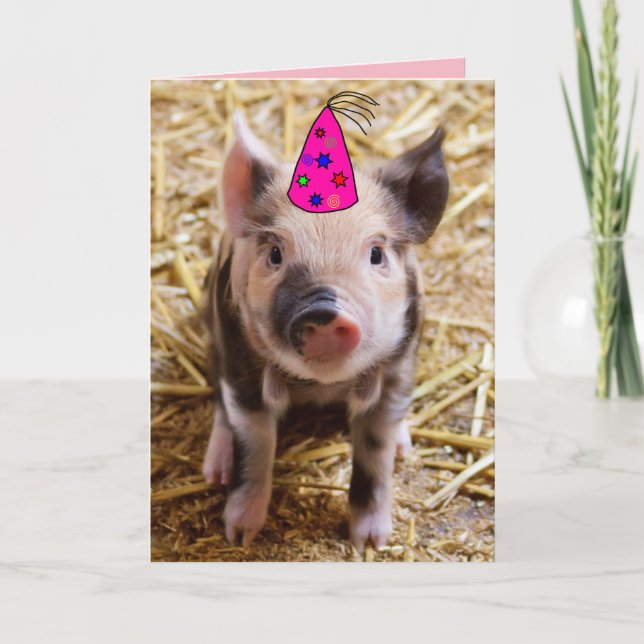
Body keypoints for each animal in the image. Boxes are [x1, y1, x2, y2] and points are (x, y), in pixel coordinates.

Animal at [202, 113, 448, 551]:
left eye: (376, 254)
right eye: (276, 253)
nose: (323, 310)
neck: (320, 386)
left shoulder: (399, 366)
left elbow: (376, 450)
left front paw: (371, 544)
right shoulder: (239, 361)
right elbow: (255, 444)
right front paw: (239, 535)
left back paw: (405, 448)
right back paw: (215, 472)